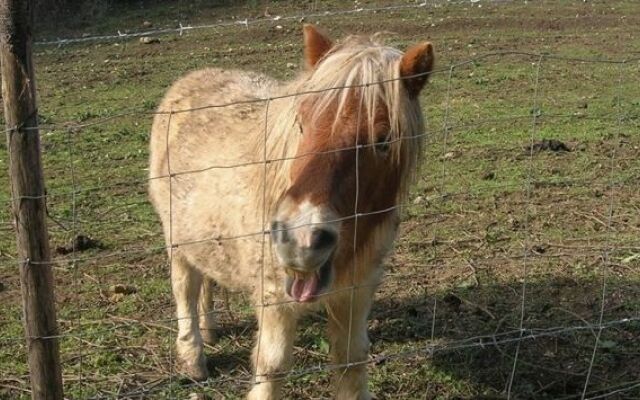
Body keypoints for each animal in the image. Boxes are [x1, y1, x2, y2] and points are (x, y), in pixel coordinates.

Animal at [148, 25, 432, 400]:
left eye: (383, 140)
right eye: (301, 122)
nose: (300, 241)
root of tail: (192, 78)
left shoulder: (356, 293)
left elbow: (352, 361)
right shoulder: (275, 299)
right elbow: (272, 368)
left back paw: (209, 330)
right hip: (176, 240)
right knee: (185, 291)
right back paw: (193, 357)